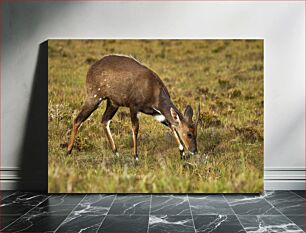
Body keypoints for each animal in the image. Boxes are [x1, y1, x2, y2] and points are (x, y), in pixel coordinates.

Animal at [67, 54, 200, 160]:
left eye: (196, 133)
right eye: (189, 134)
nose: (194, 150)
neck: (154, 91)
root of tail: (90, 69)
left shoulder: (156, 113)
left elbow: (171, 125)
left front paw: (182, 153)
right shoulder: (134, 106)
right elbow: (135, 128)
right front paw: (136, 156)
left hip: (112, 103)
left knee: (104, 121)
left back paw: (116, 153)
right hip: (94, 97)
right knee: (78, 119)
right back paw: (68, 151)